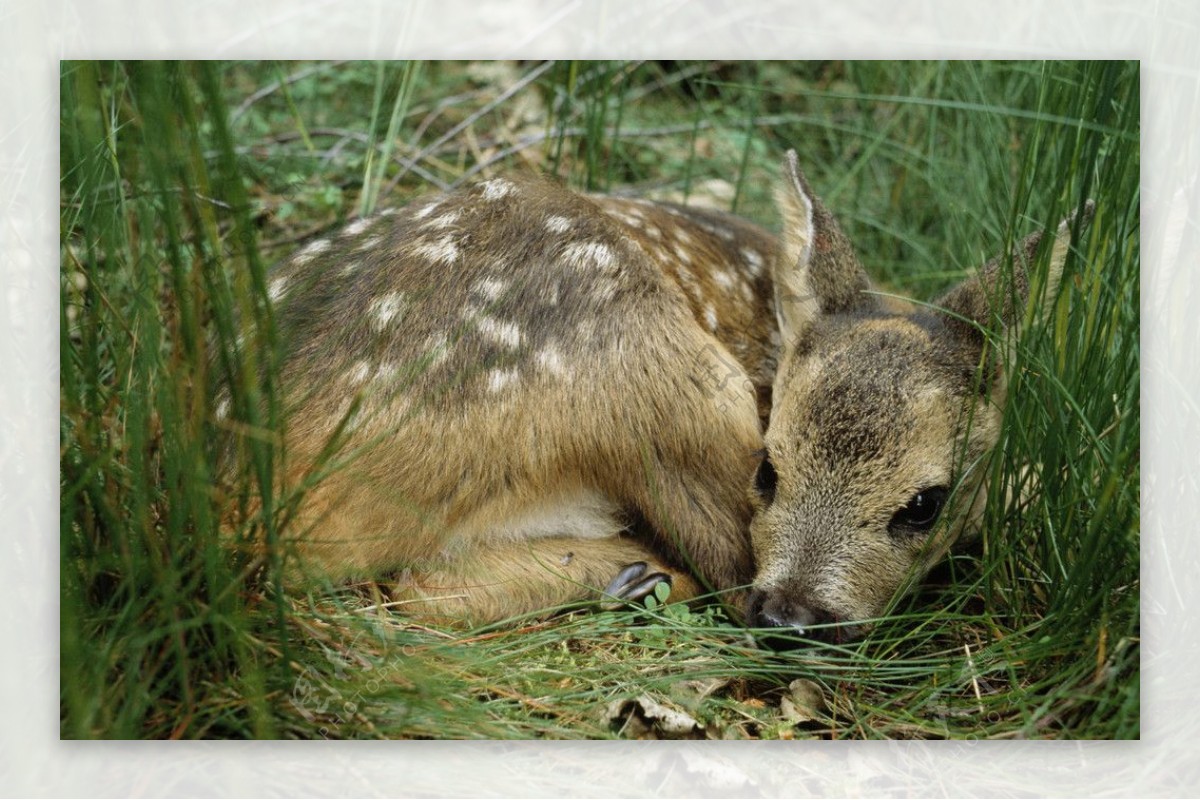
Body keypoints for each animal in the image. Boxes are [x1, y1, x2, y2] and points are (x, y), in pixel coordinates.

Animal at [220, 151, 1094, 642]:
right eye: (768, 469)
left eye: (923, 503)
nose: (793, 619)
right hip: (654, 362)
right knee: (718, 567)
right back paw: (640, 576)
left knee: (416, 587)